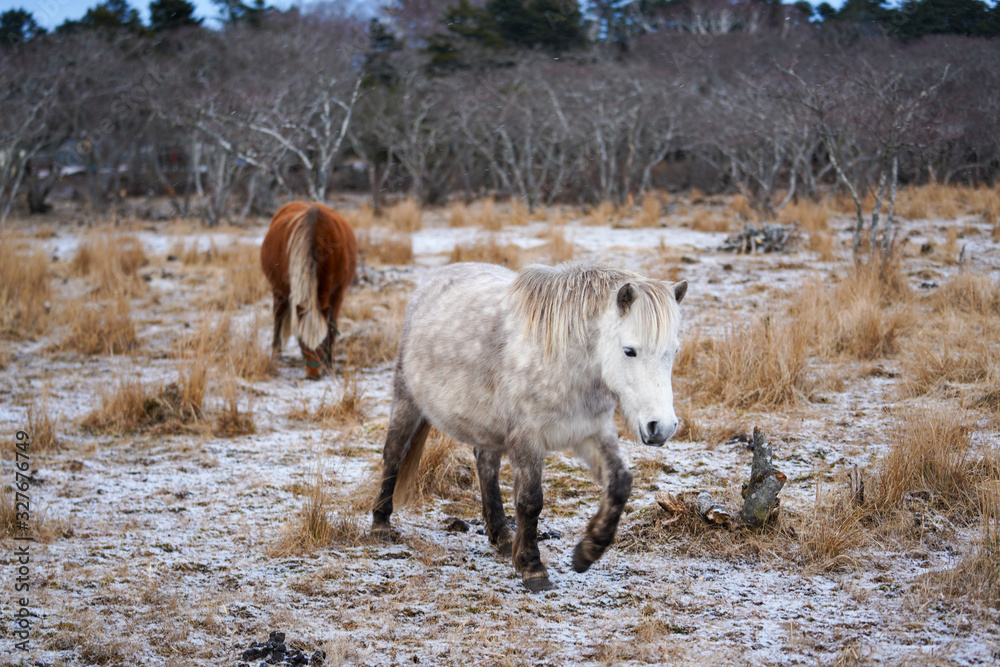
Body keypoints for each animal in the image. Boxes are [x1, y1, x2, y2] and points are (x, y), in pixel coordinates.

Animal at [260, 202, 357, 380]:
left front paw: (330, 365)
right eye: (300, 341)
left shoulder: (338, 295)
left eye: (323, 342)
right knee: (278, 320)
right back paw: (276, 355)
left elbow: (332, 329)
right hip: (278, 292)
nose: (314, 375)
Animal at [372, 261, 687, 591]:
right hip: (406, 400)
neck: (566, 362)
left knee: (486, 466)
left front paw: (588, 551)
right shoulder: (527, 439)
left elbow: (621, 483)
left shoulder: (592, 433)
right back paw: (380, 525)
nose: (662, 427)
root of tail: (434, 279)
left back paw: (501, 535)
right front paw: (533, 568)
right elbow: (530, 501)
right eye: (629, 350)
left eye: (674, 351)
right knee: (394, 454)